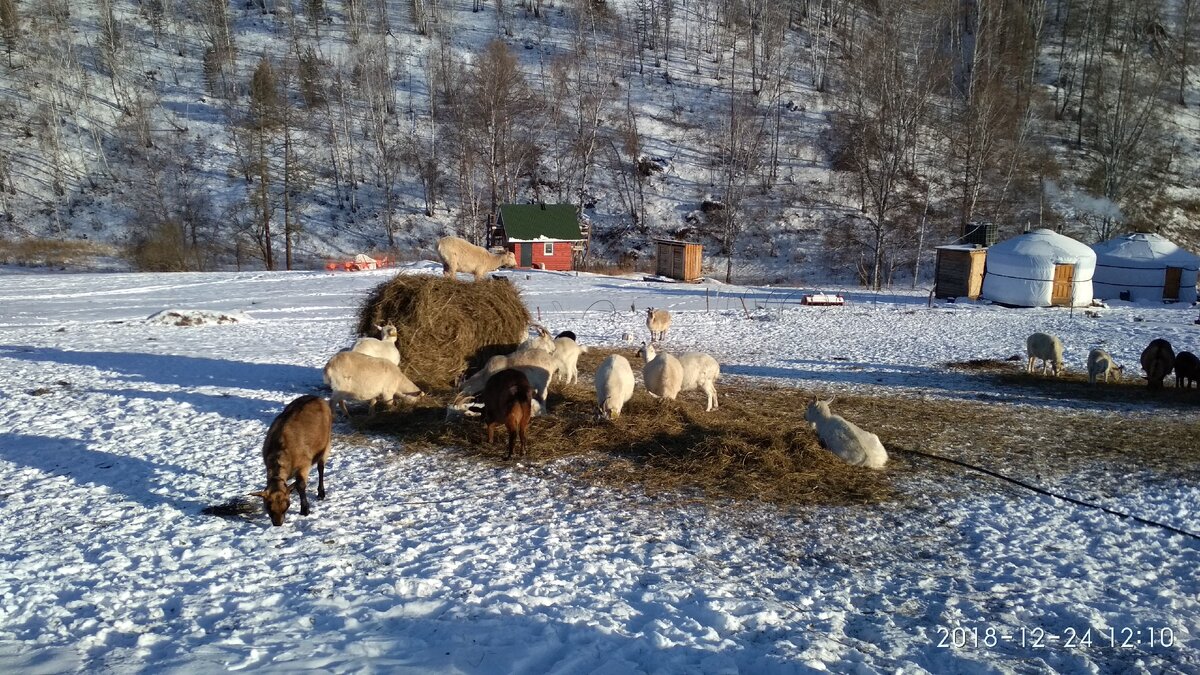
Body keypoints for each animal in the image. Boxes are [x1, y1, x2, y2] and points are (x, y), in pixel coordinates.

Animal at [250, 393, 331, 526]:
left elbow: (301, 485)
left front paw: (305, 509)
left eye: (287, 506)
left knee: (321, 467)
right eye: (268, 507)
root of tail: (316, 396)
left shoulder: (304, 465)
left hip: (326, 444)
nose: (277, 524)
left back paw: (321, 493)